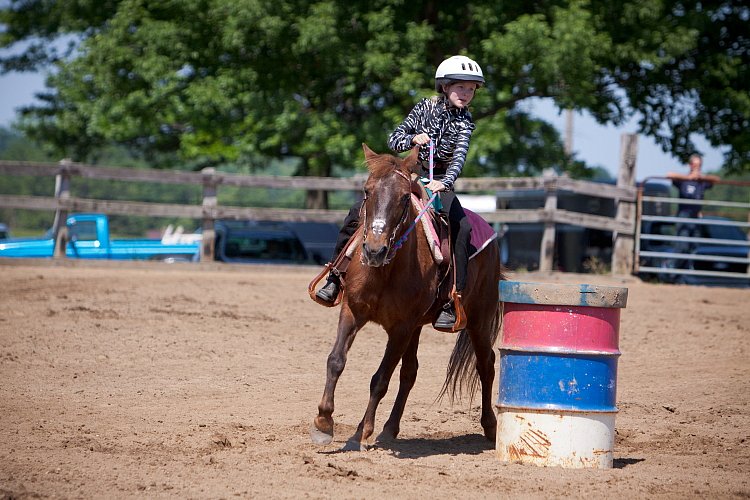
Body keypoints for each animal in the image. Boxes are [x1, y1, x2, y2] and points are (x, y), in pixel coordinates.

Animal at [312, 143, 506, 448]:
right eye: (367, 191)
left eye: (405, 198)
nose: (374, 250)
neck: (385, 270)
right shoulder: (353, 311)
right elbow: (336, 361)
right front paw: (323, 422)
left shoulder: (401, 328)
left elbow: (380, 379)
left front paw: (362, 432)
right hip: (419, 327)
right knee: (410, 373)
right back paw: (390, 429)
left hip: (478, 319)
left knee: (485, 365)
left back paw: (490, 427)